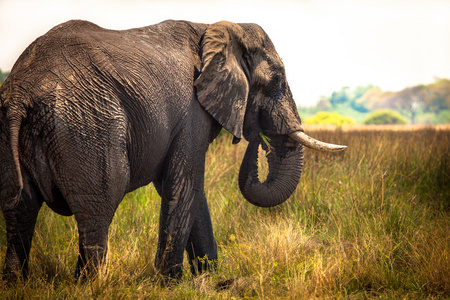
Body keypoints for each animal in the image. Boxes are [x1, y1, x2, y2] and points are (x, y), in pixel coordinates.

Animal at [0, 19, 346, 280]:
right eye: (276, 81)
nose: (257, 140)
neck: (213, 29)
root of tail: (20, 91)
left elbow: (187, 189)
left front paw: (211, 279)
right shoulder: (191, 109)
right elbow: (184, 184)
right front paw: (170, 283)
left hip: (12, 128)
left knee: (20, 211)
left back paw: (18, 283)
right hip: (87, 126)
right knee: (97, 209)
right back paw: (90, 285)